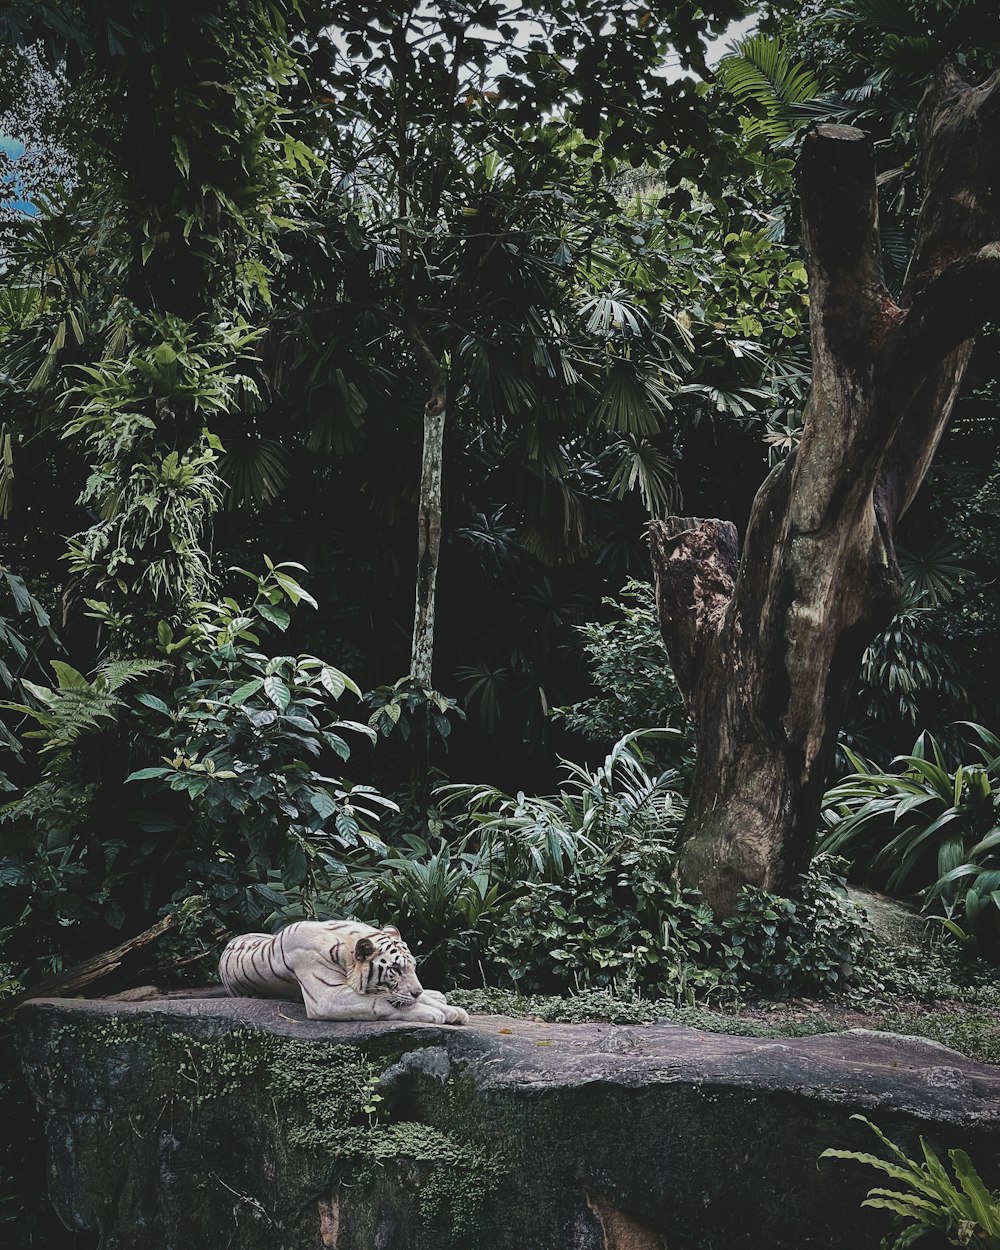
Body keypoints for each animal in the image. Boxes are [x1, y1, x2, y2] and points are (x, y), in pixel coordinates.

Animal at [218, 920, 470, 1025]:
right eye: (396, 969)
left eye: (413, 968)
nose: (417, 992)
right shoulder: (328, 997)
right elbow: (380, 1003)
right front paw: (434, 1013)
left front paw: (453, 1010)